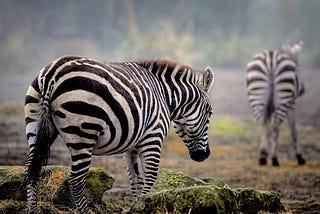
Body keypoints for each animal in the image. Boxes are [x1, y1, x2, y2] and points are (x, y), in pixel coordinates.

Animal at [24, 56, 215, 213]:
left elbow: (136, 181)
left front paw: (138, 207)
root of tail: (52, 74)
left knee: (32, 172)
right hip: (83, 134)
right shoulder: (153, 137)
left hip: (34, 125)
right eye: (210, 113)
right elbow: (150, 178)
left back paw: (32, 210)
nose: (204, 155)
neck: (164, 97)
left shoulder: (131, 147)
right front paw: (143, 206)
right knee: (76, 181)